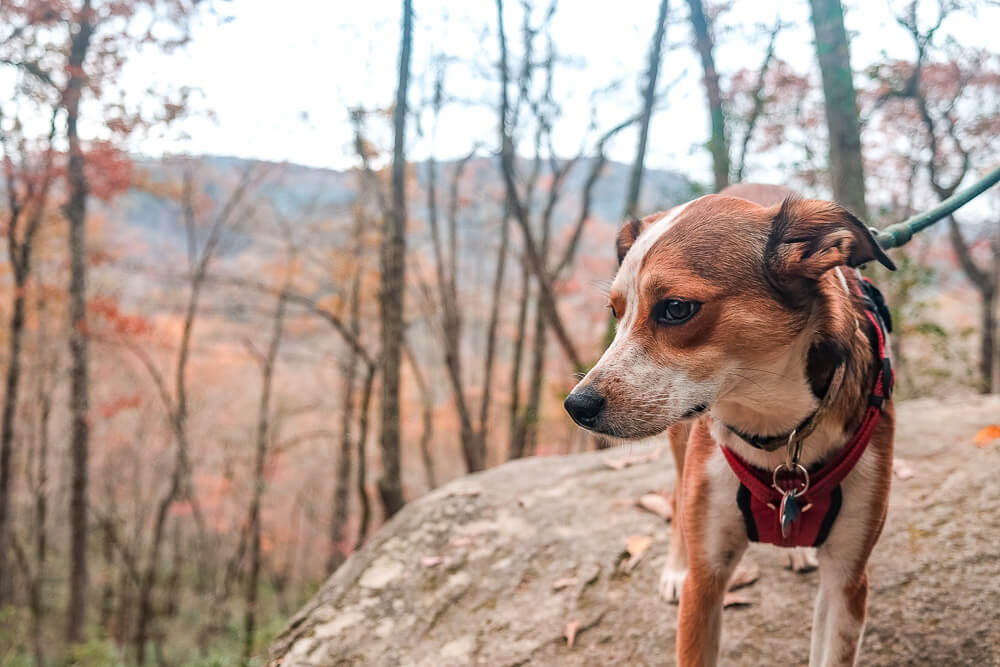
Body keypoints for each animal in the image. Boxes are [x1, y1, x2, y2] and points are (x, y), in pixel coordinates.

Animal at [564, 184, 900, 667]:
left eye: (676, 308)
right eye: (615, 312)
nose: (576, 405)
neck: (775, 428)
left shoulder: (848, 580)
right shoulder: (706, 581)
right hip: (682, 444)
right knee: (678, 497)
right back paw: (674, 567)